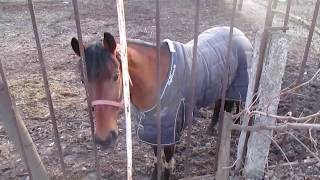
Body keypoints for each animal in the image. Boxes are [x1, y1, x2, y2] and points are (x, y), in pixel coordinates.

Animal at [70, 26, 252, 179]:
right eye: (82, 80)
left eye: (116, 75)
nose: (104, 138)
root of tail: (240, 33)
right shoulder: (153, 128)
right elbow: (158, 158)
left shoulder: (169, 131)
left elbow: (167, 162)